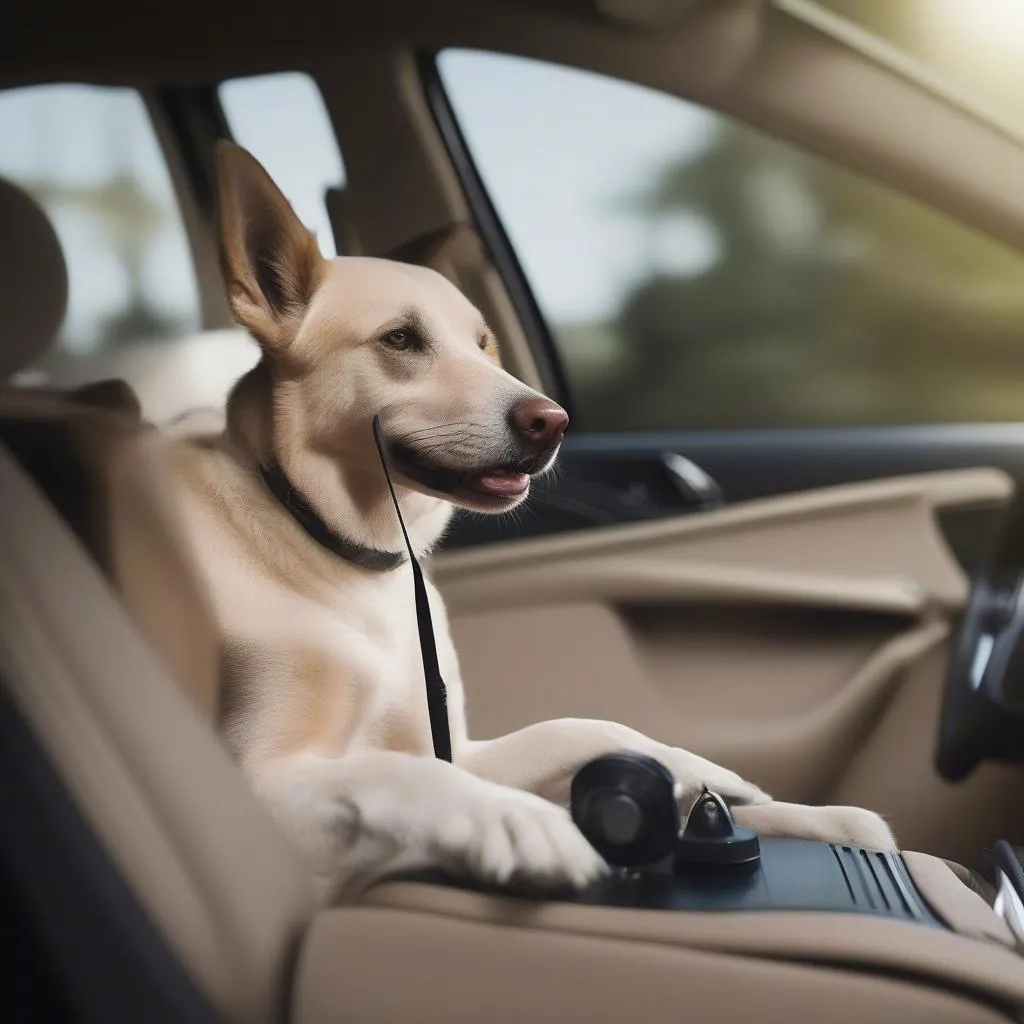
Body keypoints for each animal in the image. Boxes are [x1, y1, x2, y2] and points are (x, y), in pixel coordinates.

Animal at [169, 140, 897, 901]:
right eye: (400, 339)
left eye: (484, 342)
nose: (553, 422)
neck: (340, 555)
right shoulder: (257, 781)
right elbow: (398, 772)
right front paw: (518, 821)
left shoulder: (462, 748)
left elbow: (575, 728)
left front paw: (719, 777)